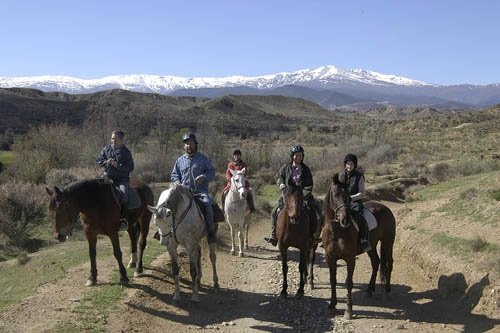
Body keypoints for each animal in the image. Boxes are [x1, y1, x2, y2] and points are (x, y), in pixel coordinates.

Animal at [322, 172, 396, 318]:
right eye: (335, 194)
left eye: (348, 195)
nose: (344, 220)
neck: (336, 230)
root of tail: (385, 208)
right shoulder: (330, 257)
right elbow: (333, 280)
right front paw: (332, 305)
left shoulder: (350, 258)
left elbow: (348, 283)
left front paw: (349, 311)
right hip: (372, 246)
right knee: (376, 262)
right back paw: (369, 290)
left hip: (388, 242)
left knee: (389, 263)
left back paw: (387, 291)